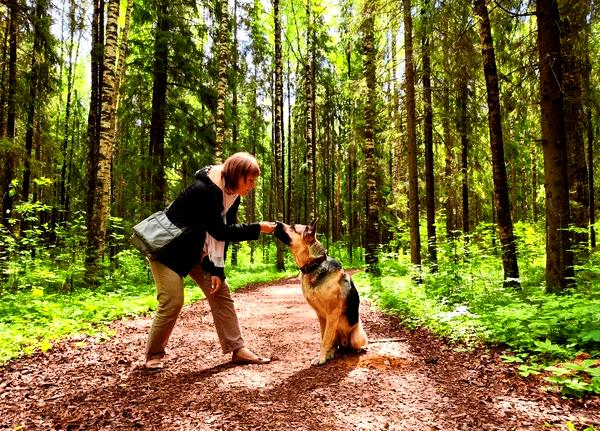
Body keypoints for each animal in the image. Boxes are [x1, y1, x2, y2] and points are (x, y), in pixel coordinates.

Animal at [272, 219, 366, 364]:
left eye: (293, 227)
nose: (276, 222)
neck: (314, 265)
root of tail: (345, 344)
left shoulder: (332, 314)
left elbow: (325, 339)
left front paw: (321, 357)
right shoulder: (321, 316)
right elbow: (324, 337)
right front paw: (323, 355)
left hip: (357, 336)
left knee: (356, 344)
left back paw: (357, 350)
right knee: (334, 344)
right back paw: (331, 352)